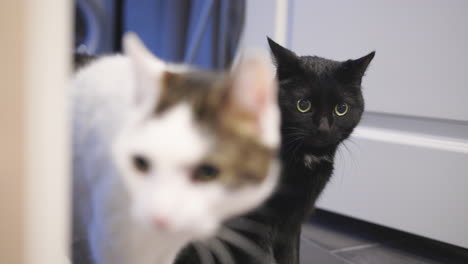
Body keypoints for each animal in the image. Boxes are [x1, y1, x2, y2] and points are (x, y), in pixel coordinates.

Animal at [177, 38, 374, 264]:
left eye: (341, 109)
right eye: (303, 105)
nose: (324, 128)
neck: (302, 159)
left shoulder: (293, 222)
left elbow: (291, 255)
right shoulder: (251, 224)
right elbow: (265, 258)